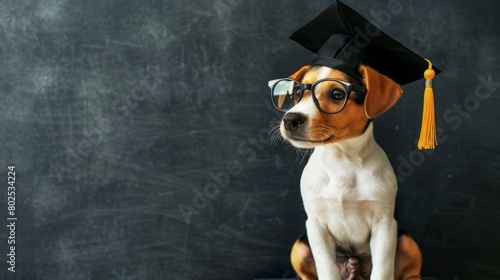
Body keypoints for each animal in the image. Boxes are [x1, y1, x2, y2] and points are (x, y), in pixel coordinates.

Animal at [278, 64, 422, 278]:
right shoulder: (316, 225)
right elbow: (326, 268)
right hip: (300, 244)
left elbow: (382, 270)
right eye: (297, 93)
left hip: (406, 241)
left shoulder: (384, 224)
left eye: (337, 94)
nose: (290, 119)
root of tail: (353, 265)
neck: (341, 161)